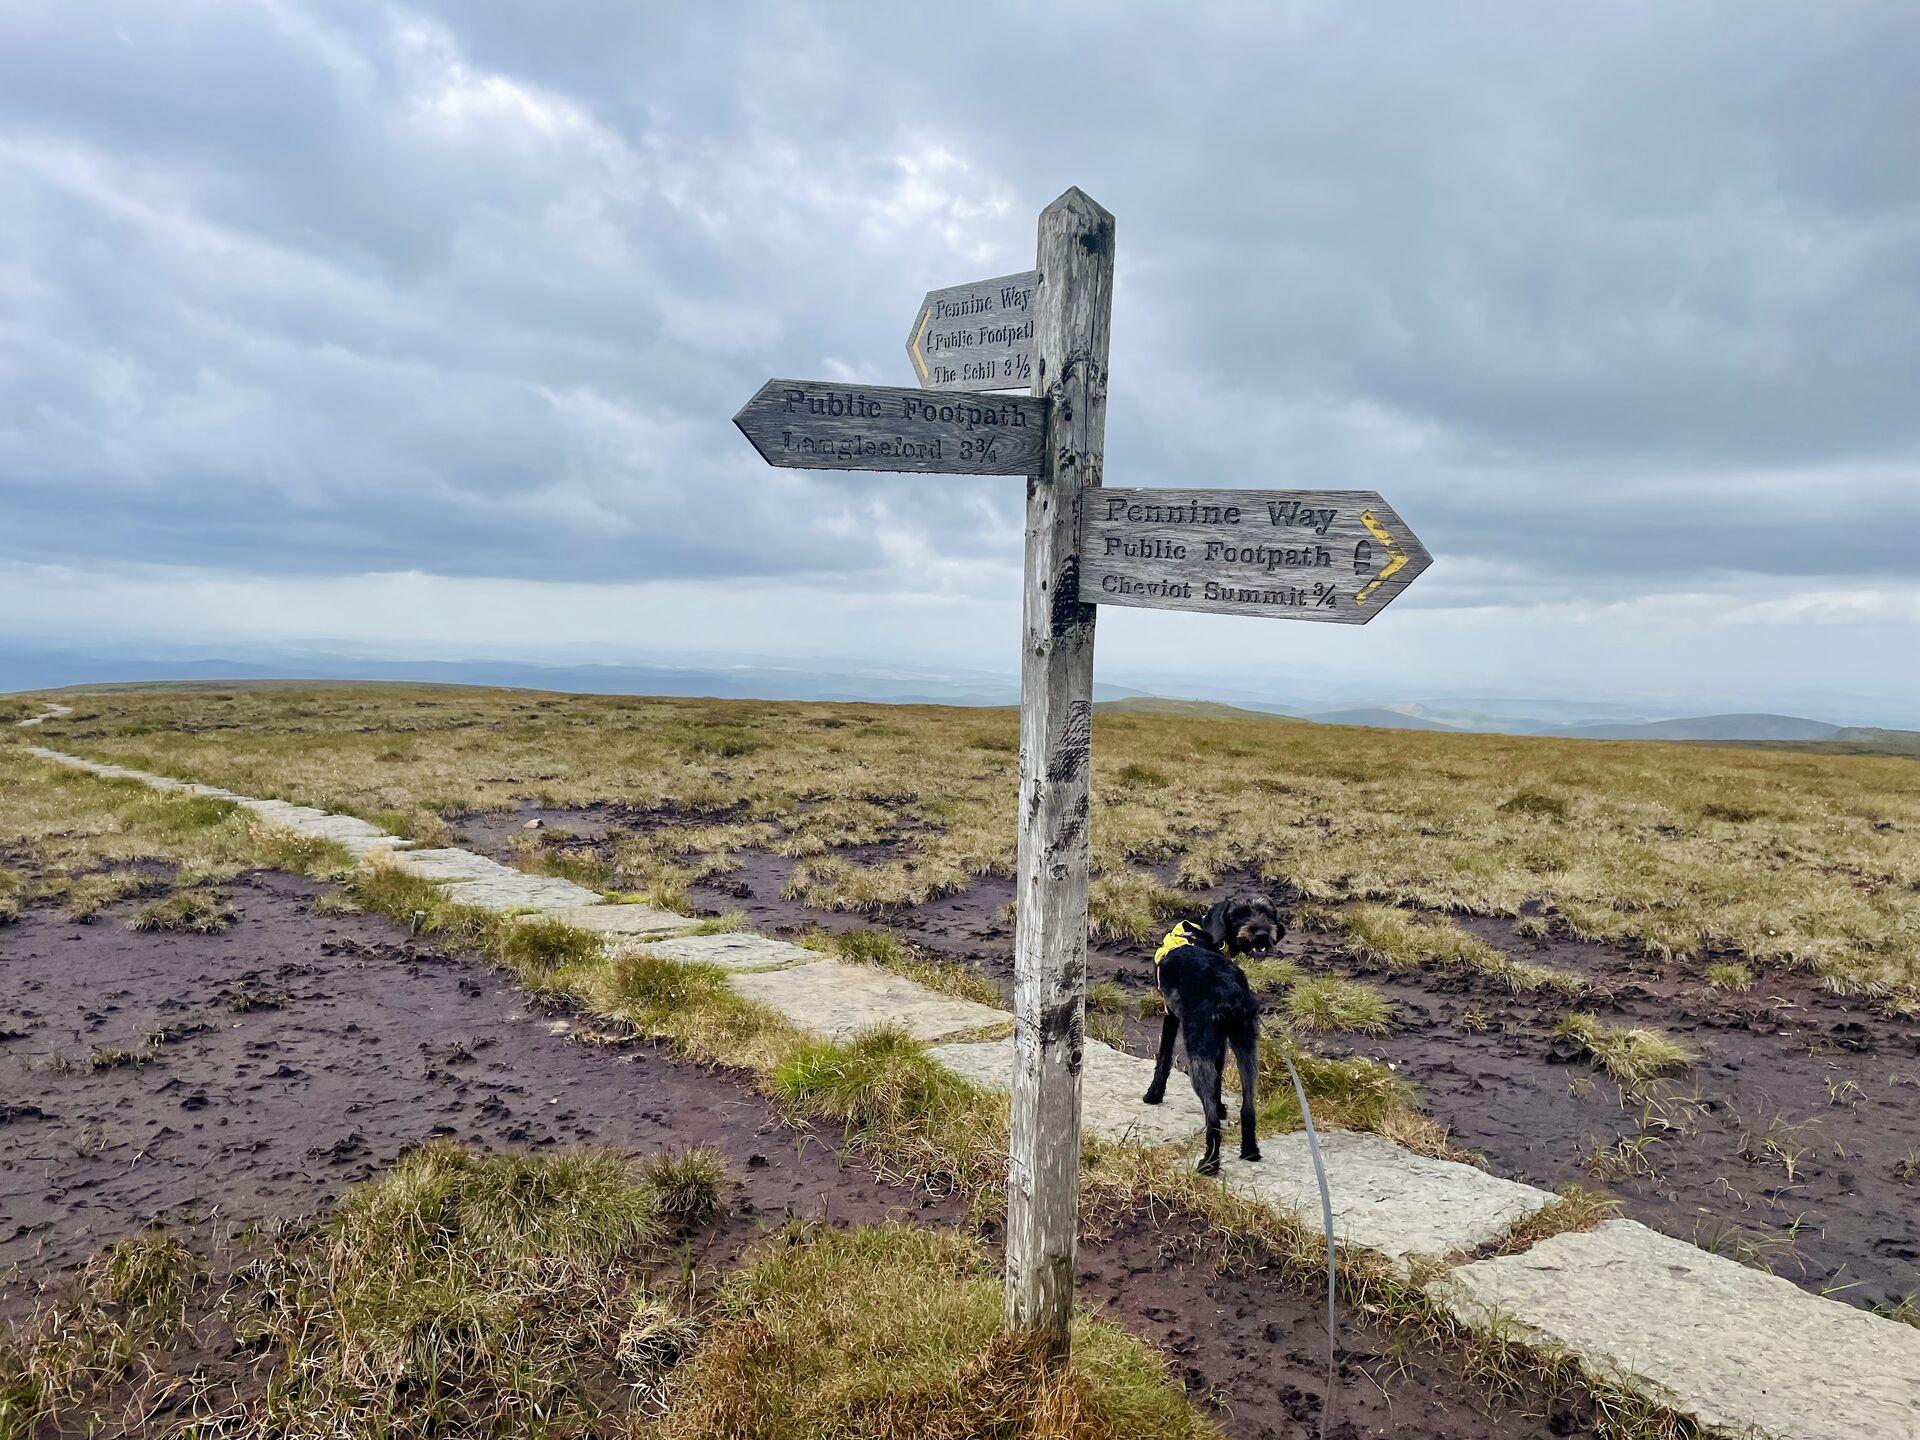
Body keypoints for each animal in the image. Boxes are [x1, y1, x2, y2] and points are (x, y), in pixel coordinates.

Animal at [1144, 898, 1282, 1175]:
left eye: (1266, 913)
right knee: (1248, 1107)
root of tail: (1230, 987)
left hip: (1197, 1056)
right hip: (1247, 1050)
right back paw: (1250, 1150)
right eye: (1241, 914)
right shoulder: (1219, 1045)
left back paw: (1209, 1162)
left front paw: (1154, 1094)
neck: (1201, 934)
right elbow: (1219, 1080)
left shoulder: (1171, 1015)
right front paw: (1221, 1106)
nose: (1263, 933)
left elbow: (1163, 1058)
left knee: (1211, 1120)